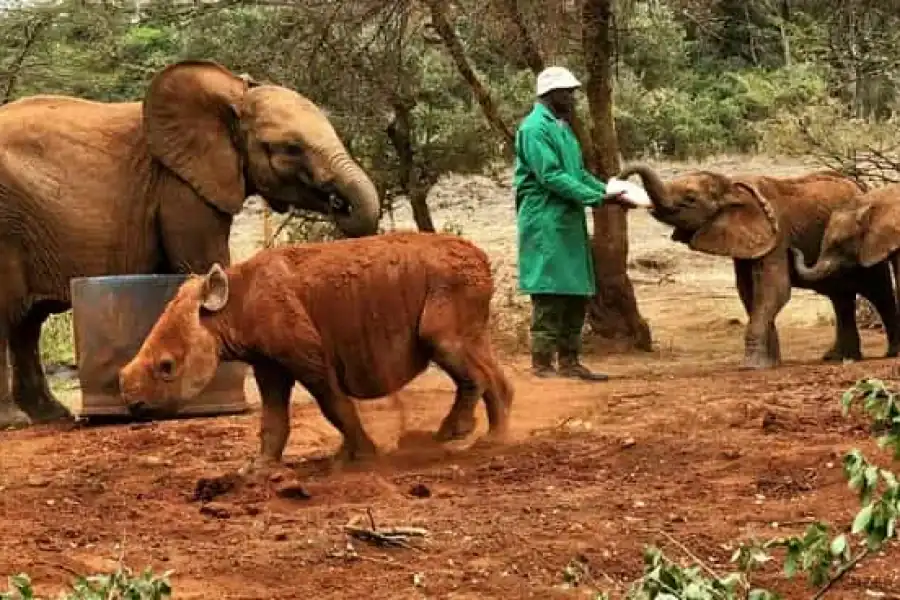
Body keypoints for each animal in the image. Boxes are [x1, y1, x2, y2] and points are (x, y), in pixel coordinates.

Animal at [0, 59, 382, 428]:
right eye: (291, 148)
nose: (337, 202)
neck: (232, 91)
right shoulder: (179, 187)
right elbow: (203, 264)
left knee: (26, 324)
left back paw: (51, 416)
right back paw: (15, 421)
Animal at [618, 164, 900, 369]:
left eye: (690, 199)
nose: (619, 181)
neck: (732, 186)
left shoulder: (776, 236)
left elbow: (774, 289)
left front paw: (752, 366)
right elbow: (748, 292)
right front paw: (771, 362)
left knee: (878, 293)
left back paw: (886, 354)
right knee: (840, 298)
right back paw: (839, 358)